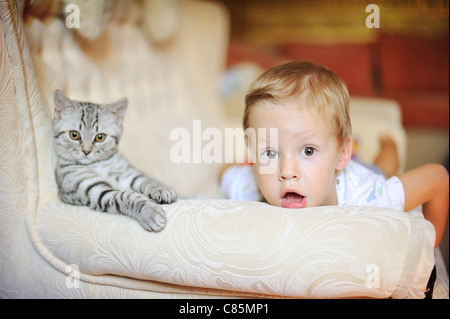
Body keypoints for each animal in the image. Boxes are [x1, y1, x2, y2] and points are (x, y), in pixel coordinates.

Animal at [52, 90, 176, 232]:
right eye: (74, 135)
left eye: (100, 137)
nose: (86, 151)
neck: (98, 165)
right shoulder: (95, 191)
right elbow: (125, 196)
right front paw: (150, 212)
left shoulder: (128, 174)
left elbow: (145, 180)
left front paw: (161, 189)